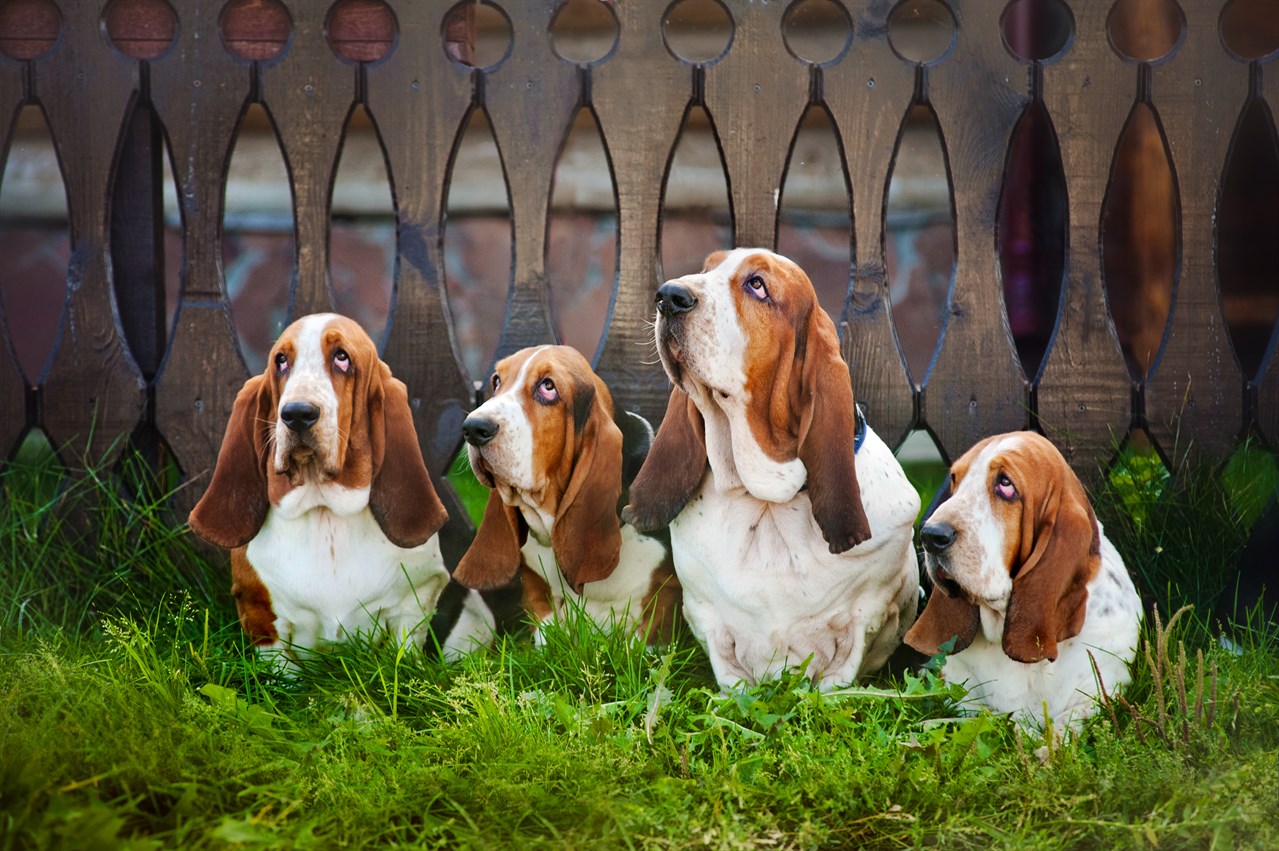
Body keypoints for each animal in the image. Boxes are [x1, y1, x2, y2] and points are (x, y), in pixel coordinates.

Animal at [905, 432, 1145, 731]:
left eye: (1005, 484)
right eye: (955, 479)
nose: (930, 535)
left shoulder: (1104, 688)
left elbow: (1066, 723)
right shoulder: (961, 695)